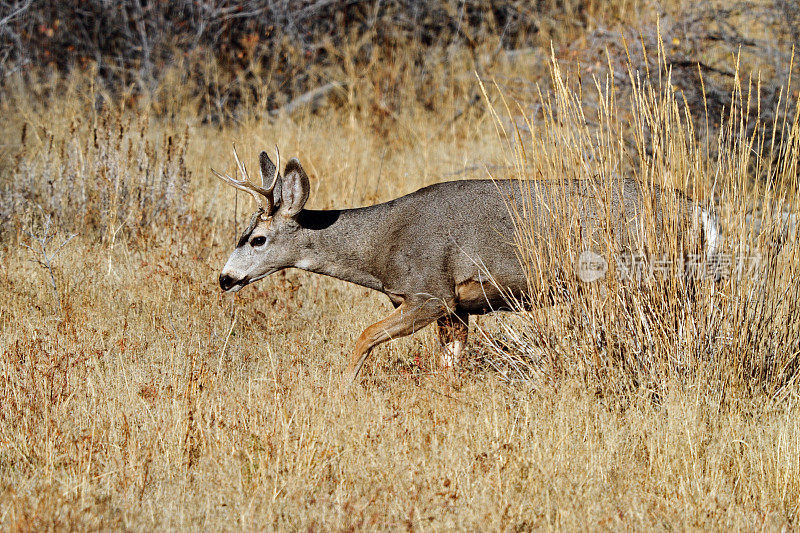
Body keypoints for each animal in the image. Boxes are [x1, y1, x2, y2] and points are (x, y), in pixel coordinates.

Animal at [214, 148, 720, 384]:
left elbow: (364, 337)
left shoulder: (430, 292)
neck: (380, 249)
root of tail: (700, 212)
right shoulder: (456, 310)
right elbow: (448, 367)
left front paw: (343, 388)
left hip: (639, 276)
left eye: (257, 239)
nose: (224, 278)